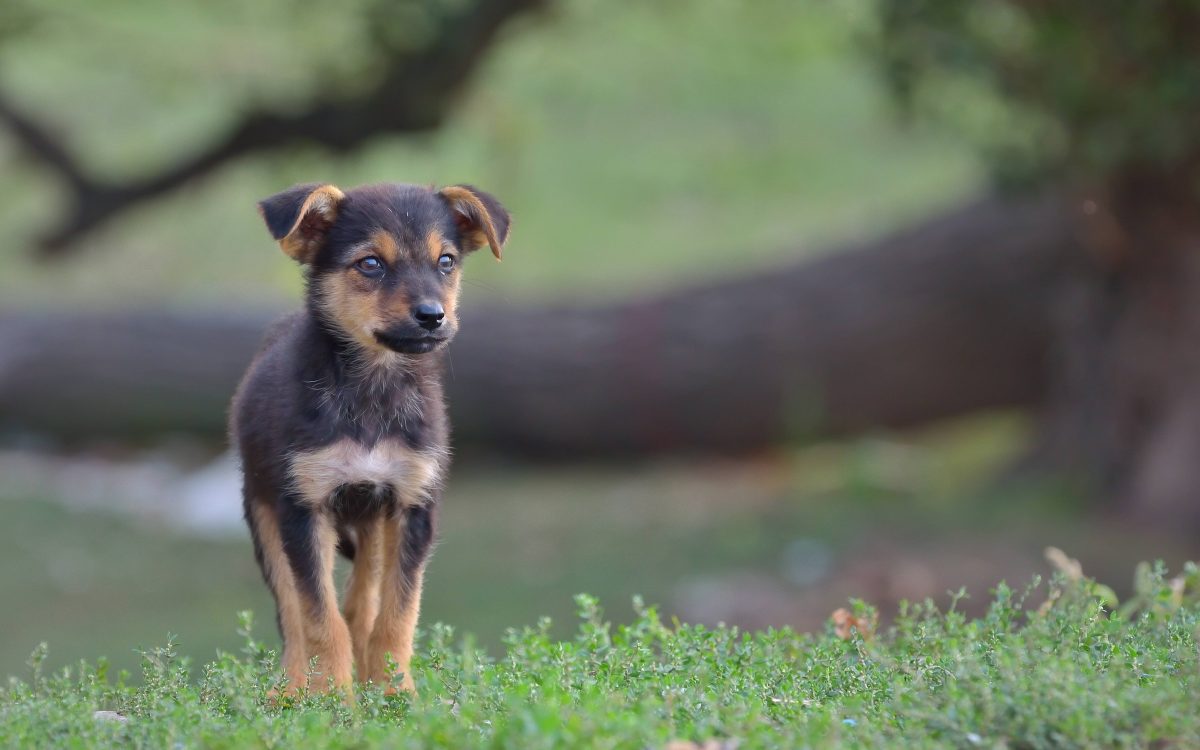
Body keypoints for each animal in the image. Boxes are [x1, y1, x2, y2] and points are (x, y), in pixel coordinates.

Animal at [230, 182, 511, 696]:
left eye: (446, 261)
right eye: (370, 264)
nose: (432, 316)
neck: (373, 391)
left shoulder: (413, 505)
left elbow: (397, 615)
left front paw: (396, 693)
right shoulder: (304, 508)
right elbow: (318, 618)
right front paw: (331, 699)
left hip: (373, 524)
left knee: (361, 604)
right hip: (262, 511)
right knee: (292, 613)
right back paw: (291, 688)